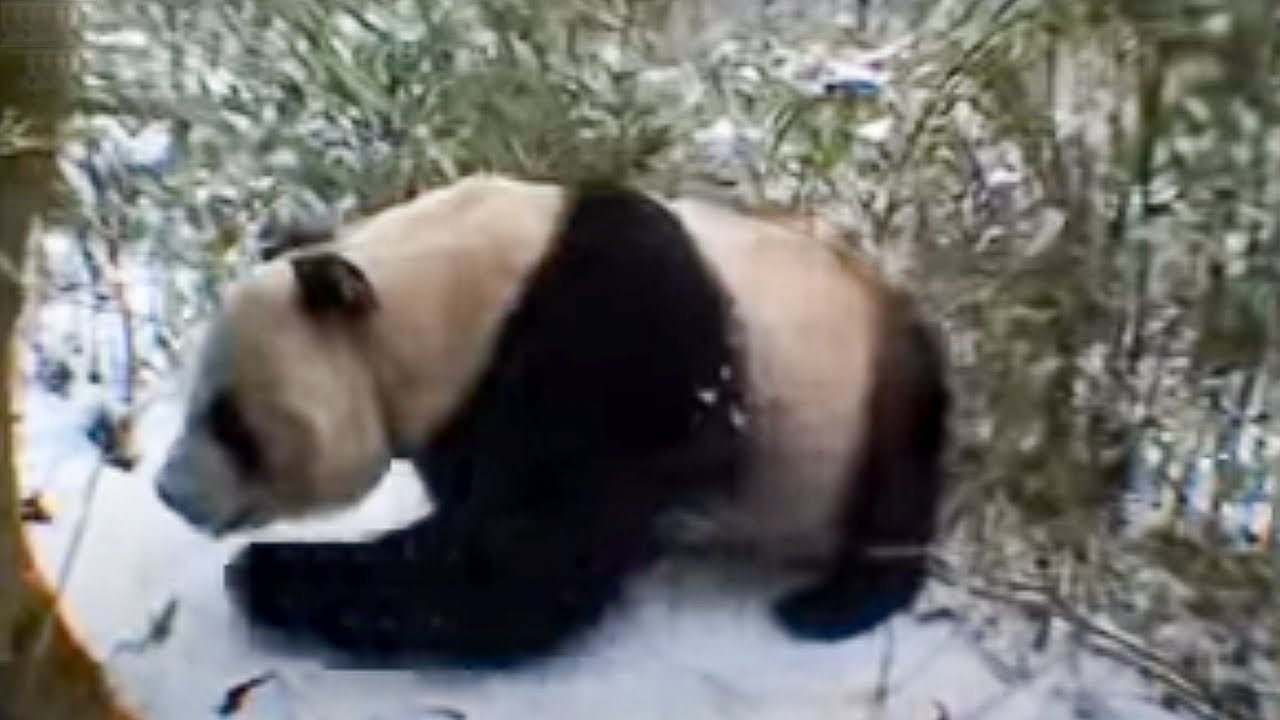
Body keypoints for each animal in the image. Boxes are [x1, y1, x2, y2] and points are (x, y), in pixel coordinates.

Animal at [154, 173, 950, 666]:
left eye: (229, 420)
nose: (168, 492)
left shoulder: (611, 340)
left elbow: (524, 560)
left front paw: (266, 574)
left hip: (860, 384)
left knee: (899, 483)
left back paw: (830, 606)